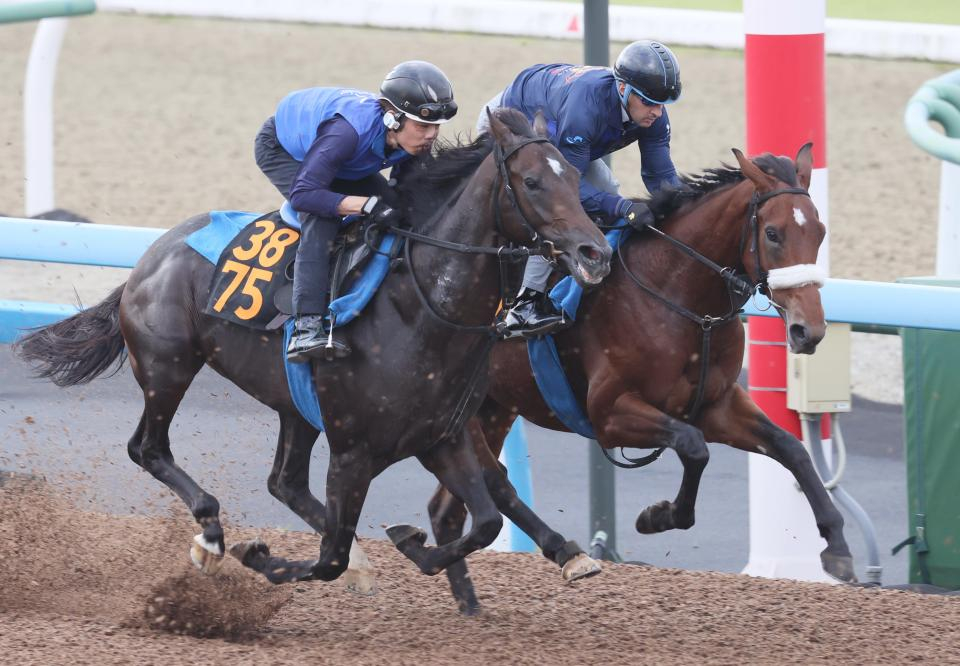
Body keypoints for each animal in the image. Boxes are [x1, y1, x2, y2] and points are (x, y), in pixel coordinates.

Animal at [15, 109, 612, 596]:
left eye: (575, 175)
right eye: (532, 181)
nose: (595, 253)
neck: (421, 307)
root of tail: (153, 253)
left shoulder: (442, 435)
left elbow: (484, 521)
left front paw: (409, 543)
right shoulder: (353, 450)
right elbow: (328, 559)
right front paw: (259, 555)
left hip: (294, 406)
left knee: (284, 481)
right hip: (169, 367)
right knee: (148, 448)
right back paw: (210, 536)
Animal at [428, 145, 856, 612]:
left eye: (820, 231)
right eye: (774, 234)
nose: (808, 330)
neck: (678, 293)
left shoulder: (716, 404)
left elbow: (791, 448)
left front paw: (837, 547)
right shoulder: (608, 414)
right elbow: (694, 446)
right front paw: (659, 515)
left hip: (494, 409)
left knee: (446, 508)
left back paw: (467, 600)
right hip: (459, 409)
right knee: (494, 483)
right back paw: (564, 554)